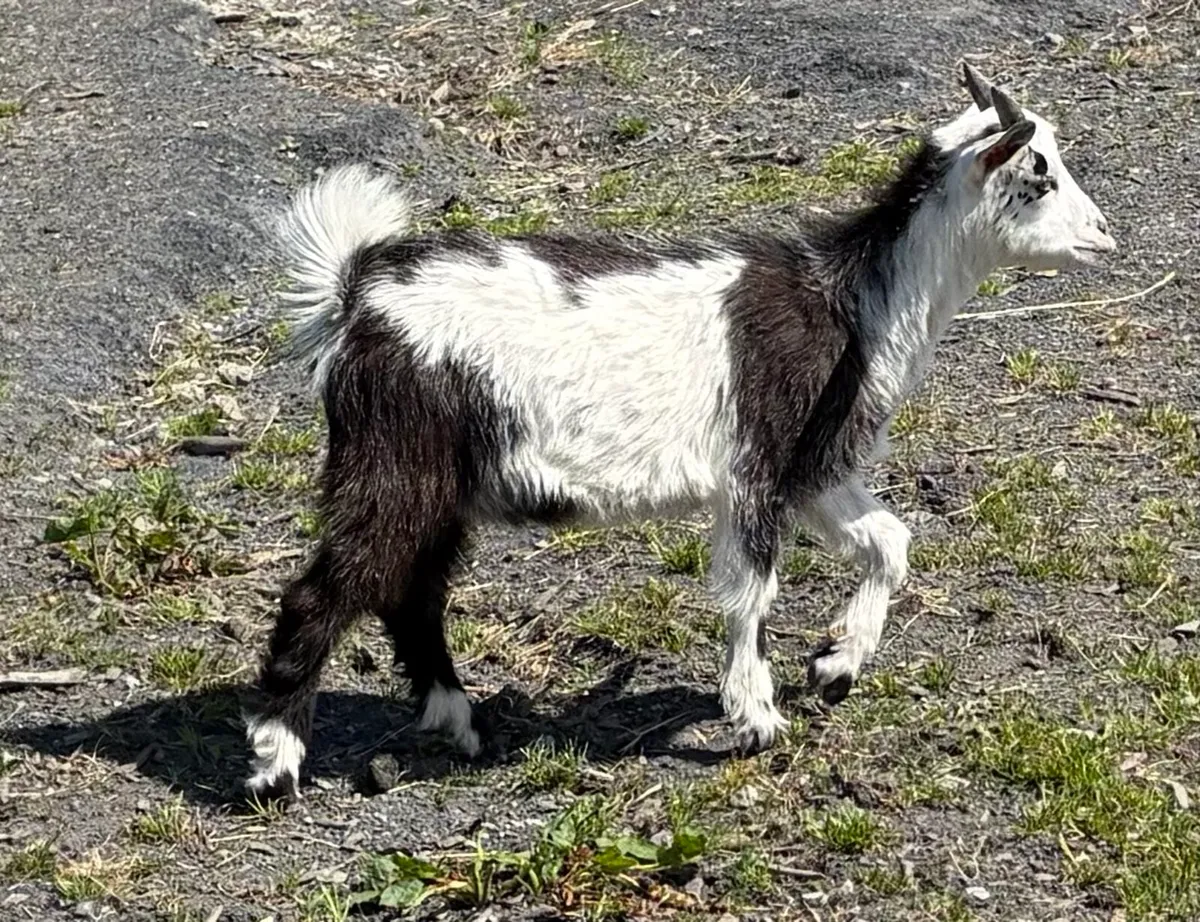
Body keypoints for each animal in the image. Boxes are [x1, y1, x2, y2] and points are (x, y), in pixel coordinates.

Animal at [244, 64, 1115, 802]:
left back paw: (457, 721)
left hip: (442, 482)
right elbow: (751, 593)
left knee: (414, 592)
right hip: (394, 461)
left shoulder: (815, 471)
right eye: (1039, 171)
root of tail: (355, 296)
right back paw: (276, 761)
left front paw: (835, 665)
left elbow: (889, 544)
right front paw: (757, 718)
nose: (1104, 235)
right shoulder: (756, 475)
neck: (854, 306)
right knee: (327, 591)